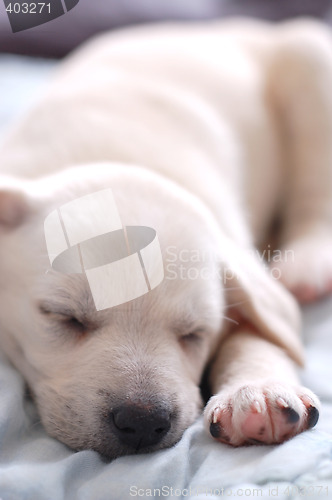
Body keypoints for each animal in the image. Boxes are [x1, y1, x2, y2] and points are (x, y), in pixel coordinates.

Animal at [0, 18, 330, 458]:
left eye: (194, 333)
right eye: (63, 317)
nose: (142, 422)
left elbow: (259, 330)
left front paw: (258, 391)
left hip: (309, 57)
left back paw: (309, 264)